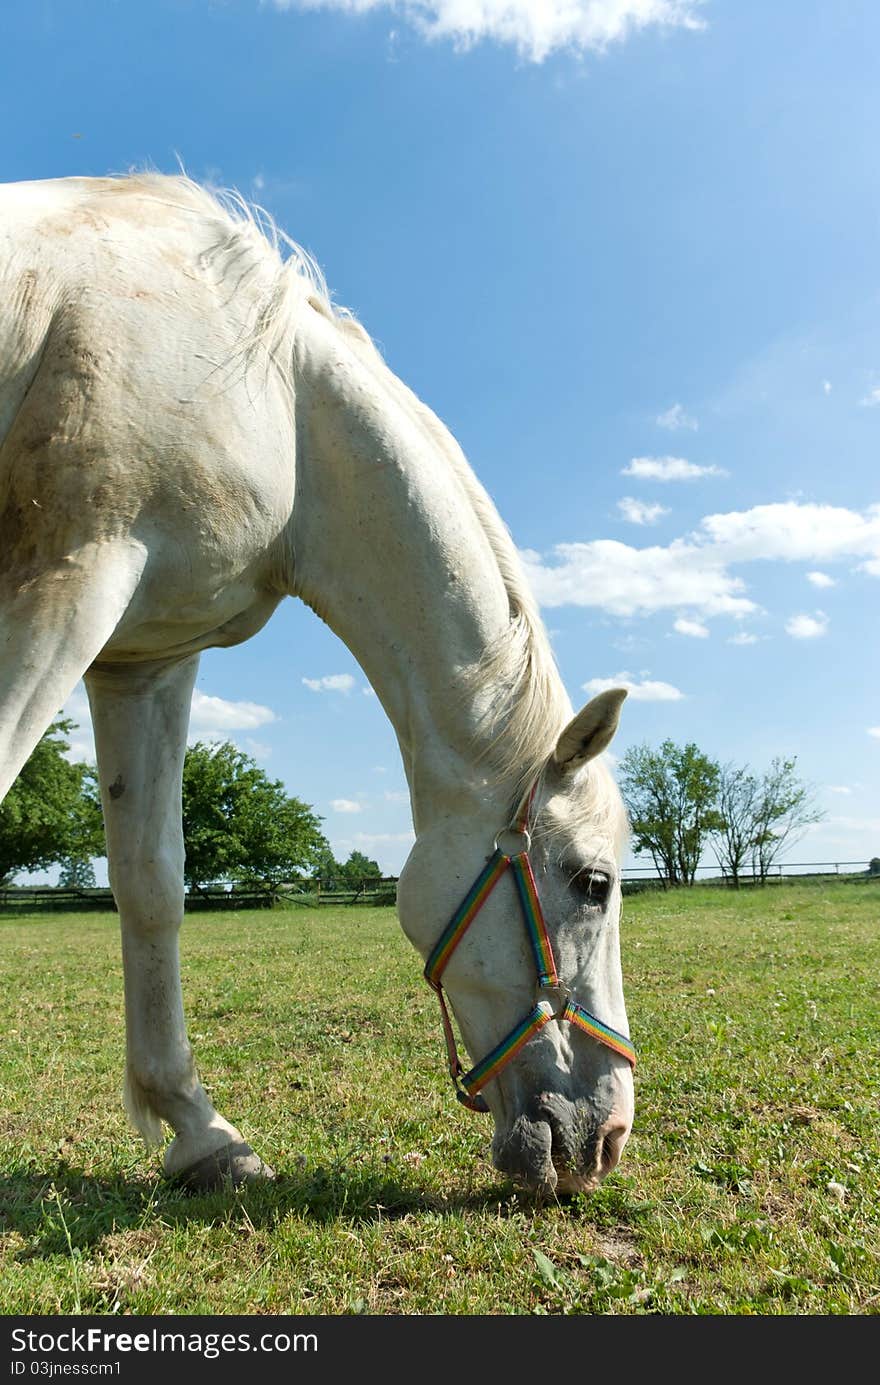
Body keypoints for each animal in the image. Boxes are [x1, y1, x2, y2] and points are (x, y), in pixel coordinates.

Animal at [0, 173, 634, 1196]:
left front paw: (201, 1131)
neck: (267, 390)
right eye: (593, 882)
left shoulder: (144, 658)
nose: (604, 1137)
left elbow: (151, 884)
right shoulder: (66, 581)